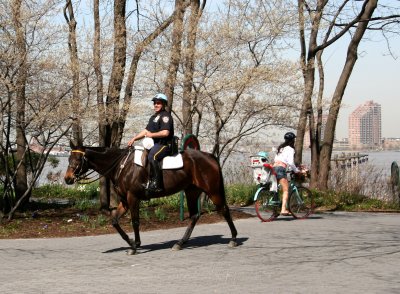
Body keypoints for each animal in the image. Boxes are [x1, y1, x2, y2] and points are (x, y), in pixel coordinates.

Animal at [63, 144, 236, 254]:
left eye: (77, 160)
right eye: (69, 159)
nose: (67, 179)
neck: (122, 165)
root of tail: (210, 156)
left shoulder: (133, 198)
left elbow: (135, 221)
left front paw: (135, 246)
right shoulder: (124, 202)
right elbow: (114, 221)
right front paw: (131, 242)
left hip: (212, 191)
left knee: (224, 210)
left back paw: (234, 239)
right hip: (191, 191)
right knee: (194, 216)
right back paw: (180, 243)